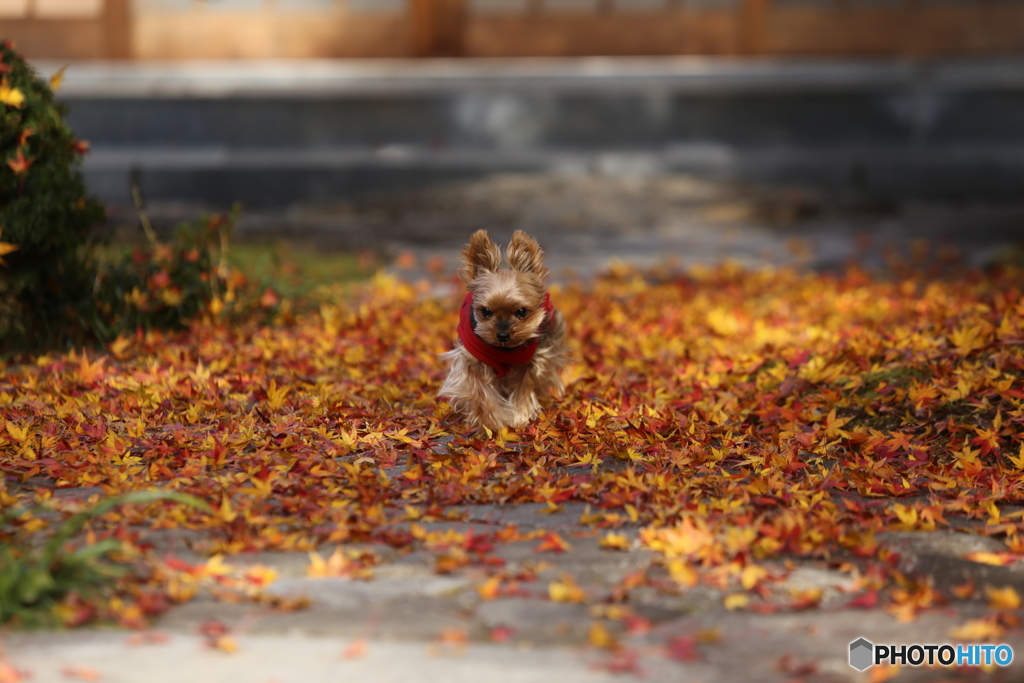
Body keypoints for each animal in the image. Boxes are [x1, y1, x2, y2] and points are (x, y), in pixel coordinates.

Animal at [438, 229, 569, 432]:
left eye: (522, 312)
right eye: (485, 311)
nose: (502, 335)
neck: (505, 351)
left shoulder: (536, 359)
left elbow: (525, 386)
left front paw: (521, 416)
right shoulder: (471, 361)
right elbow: (480, 392)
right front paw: (492, 422)